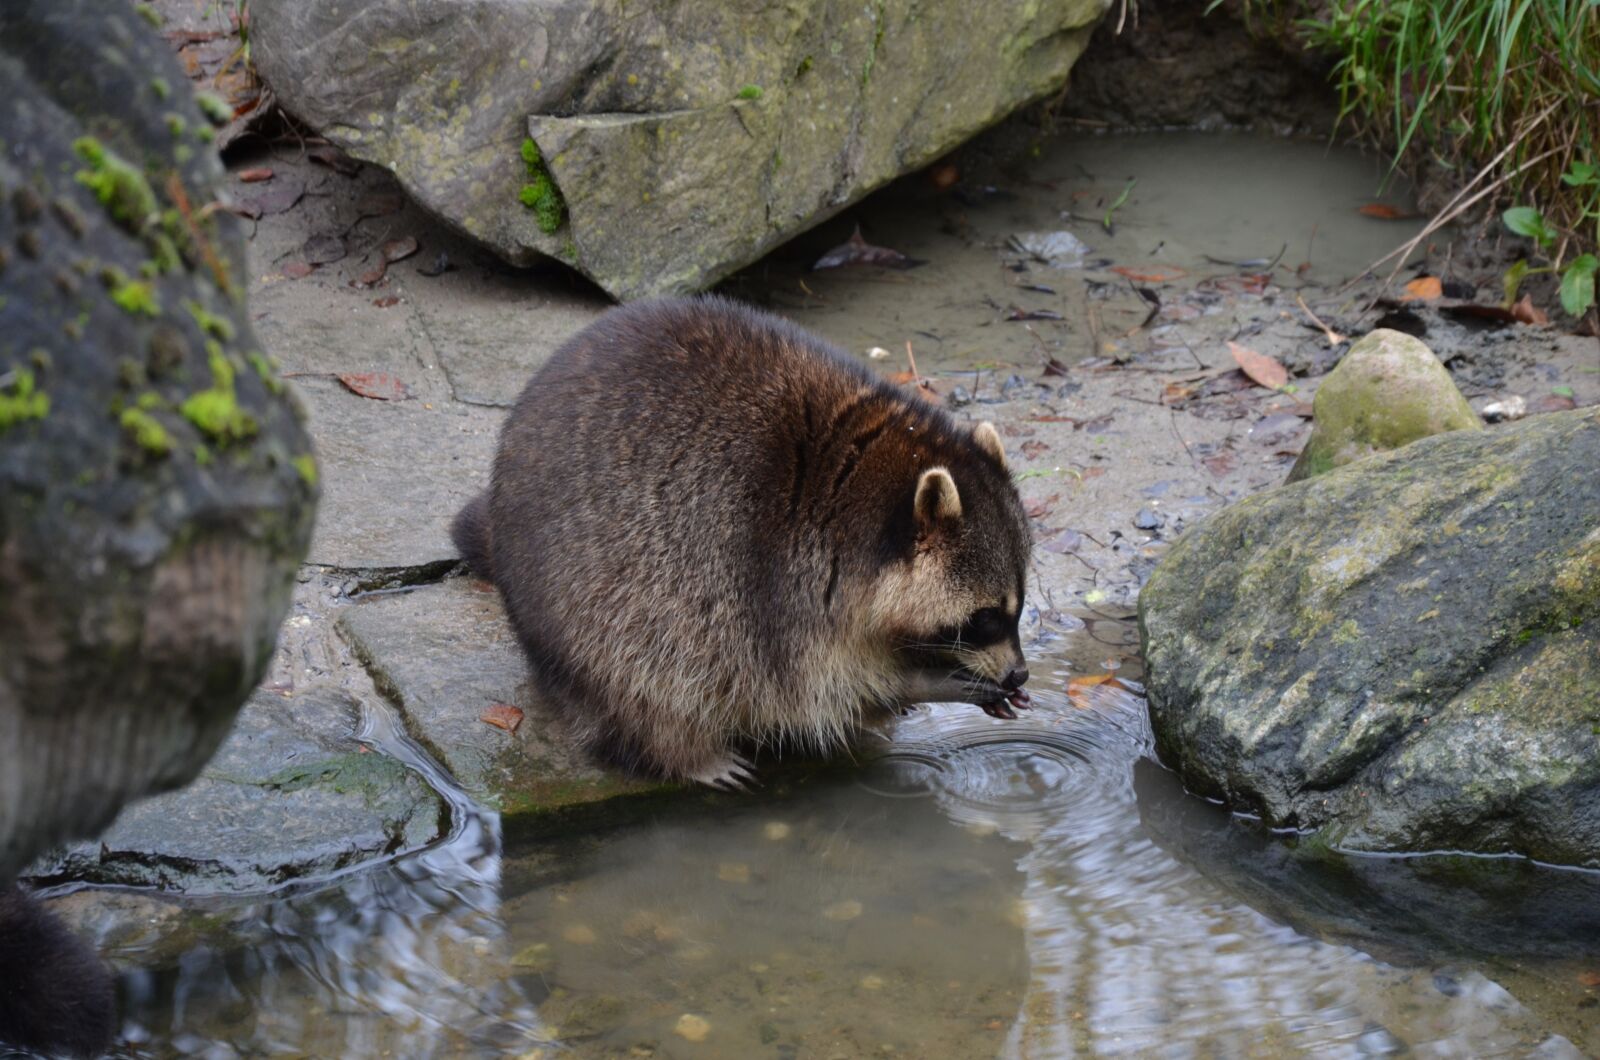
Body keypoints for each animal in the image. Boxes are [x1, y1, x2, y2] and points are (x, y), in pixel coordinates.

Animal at [452, 295, 1032, 786]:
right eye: (985, 618)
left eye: (1020, 607)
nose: (1020, 673)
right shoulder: (787, 580)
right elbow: (820, 691)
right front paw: (924, 680)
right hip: (586, 610)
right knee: (644, 682)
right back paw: (687, 752)